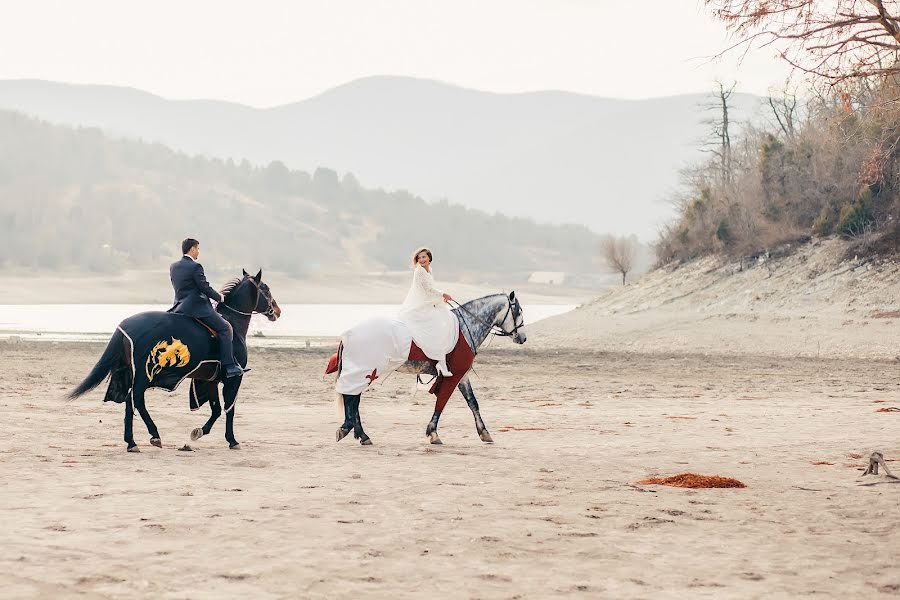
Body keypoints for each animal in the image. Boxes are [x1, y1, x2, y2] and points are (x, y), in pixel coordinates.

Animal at [70, 270, 280, 450]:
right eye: (267, 289)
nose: (277, 311)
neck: (232, 324)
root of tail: (124, 325)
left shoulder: (209, 380)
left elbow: (217, 409)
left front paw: (198, 432)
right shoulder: (233, 378)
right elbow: (230, 408)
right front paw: (232, 440)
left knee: (132, 403)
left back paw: (136, 441)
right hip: (144, 376)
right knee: (135, 400)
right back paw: (149, 437)